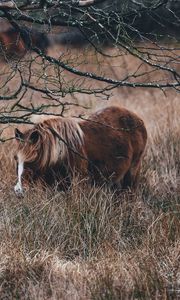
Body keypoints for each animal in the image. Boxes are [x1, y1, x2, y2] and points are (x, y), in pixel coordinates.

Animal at [13, 106, 148, 196]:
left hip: (132, 171)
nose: (18, 190)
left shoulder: (78, 183)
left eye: (31, 161)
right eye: (16, 160)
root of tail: (139, 120)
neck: (62, 152)